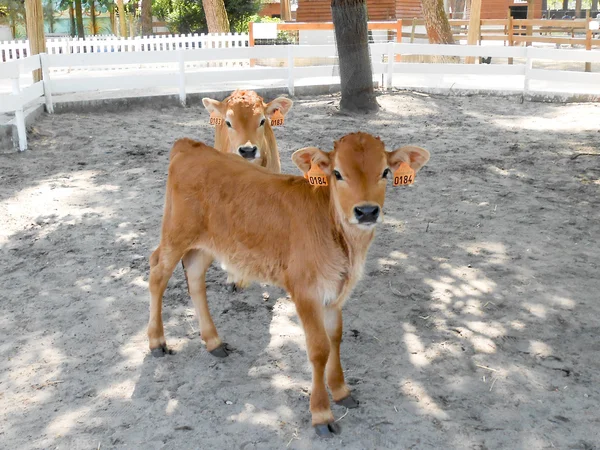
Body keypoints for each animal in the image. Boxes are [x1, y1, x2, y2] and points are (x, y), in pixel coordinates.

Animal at [150, 132, 432, 438]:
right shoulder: (305, 291)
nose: (366, 211)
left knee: (194, 276)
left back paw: (214, 341)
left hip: (207, 243)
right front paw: (321, 414)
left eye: (385, 172)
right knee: (157, 274)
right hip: (176, 233)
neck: (344, 245)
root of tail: (189, 145)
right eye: (337, 173)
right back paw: (157, 341)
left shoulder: (335, 292)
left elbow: (336, 338)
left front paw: (341, 390)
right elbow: (319, 349)